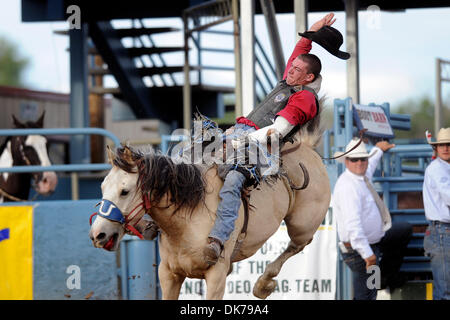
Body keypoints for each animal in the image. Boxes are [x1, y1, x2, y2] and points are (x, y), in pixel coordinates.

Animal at [89, 125, 330, 300]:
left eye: (124, 191)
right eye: (102, 187)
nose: (97, 234)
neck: (185, 221)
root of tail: (308, 148)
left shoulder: (216, 276)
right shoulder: (168, 274)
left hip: (302, 225)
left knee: (297, 245)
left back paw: (263, 285)